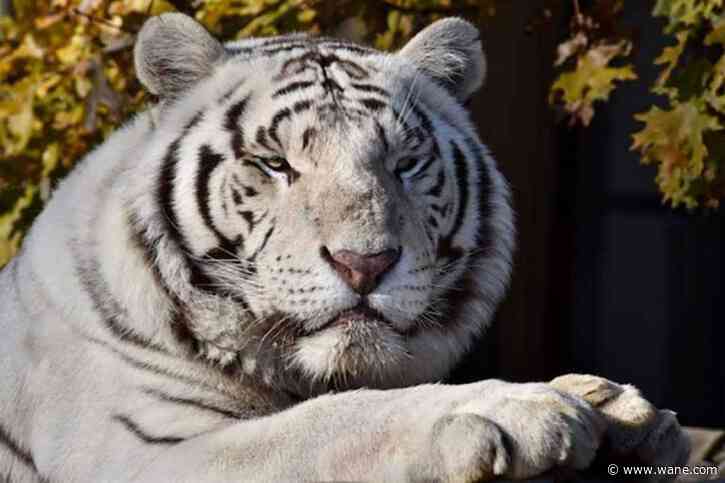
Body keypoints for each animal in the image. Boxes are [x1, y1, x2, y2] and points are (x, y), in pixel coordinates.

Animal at [0, 12, 689, 482]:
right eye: (276, 163)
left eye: (405, 163)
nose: (365, 264)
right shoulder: (140, 452)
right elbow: (332, 421)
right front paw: (518, 407)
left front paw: (621, 410)